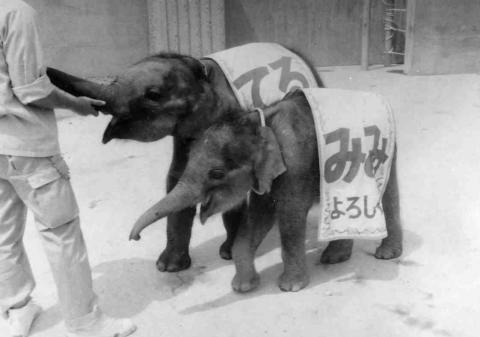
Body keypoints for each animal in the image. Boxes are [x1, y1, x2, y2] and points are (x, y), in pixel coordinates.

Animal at [47, 43, 342, 272]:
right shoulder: (186, 131)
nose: (135, 239)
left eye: (153, 95)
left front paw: (227, 254)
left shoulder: (229, 118)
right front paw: (168, 268)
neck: (199, 66)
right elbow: (175, 177)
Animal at [127, 88, 402, 292]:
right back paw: (334, 258)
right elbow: (257, 216)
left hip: (385, 151)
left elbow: (290, 215)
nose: (134, 238)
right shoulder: (264, 175)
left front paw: (290, 287)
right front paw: (243, 287)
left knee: (388, 196)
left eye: (216, 174)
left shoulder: (295, 163)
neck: (258, 121)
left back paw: (385, 255)